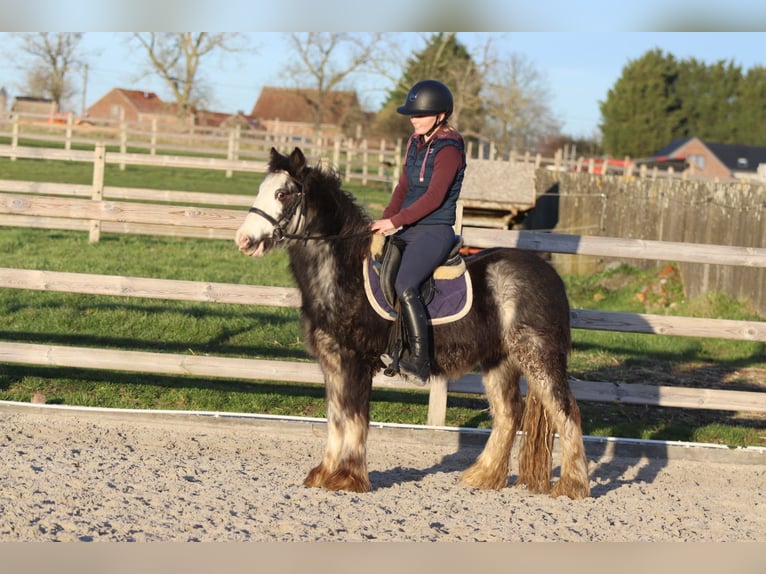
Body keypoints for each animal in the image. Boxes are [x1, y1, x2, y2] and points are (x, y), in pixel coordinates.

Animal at [235, 147, 590, 499]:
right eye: (261, 189)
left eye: (282, 193)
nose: (244, 240)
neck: (344, 272)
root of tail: (550, 275)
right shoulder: (333, 361)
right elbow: (336, 417)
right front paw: (325, 474)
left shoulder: (356, 361)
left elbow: (353, 418)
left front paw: (348, 478)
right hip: (499, 361)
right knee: (508, 414)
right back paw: (483, 476)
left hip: (539, 356)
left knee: (566, 411)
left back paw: (572, 485)